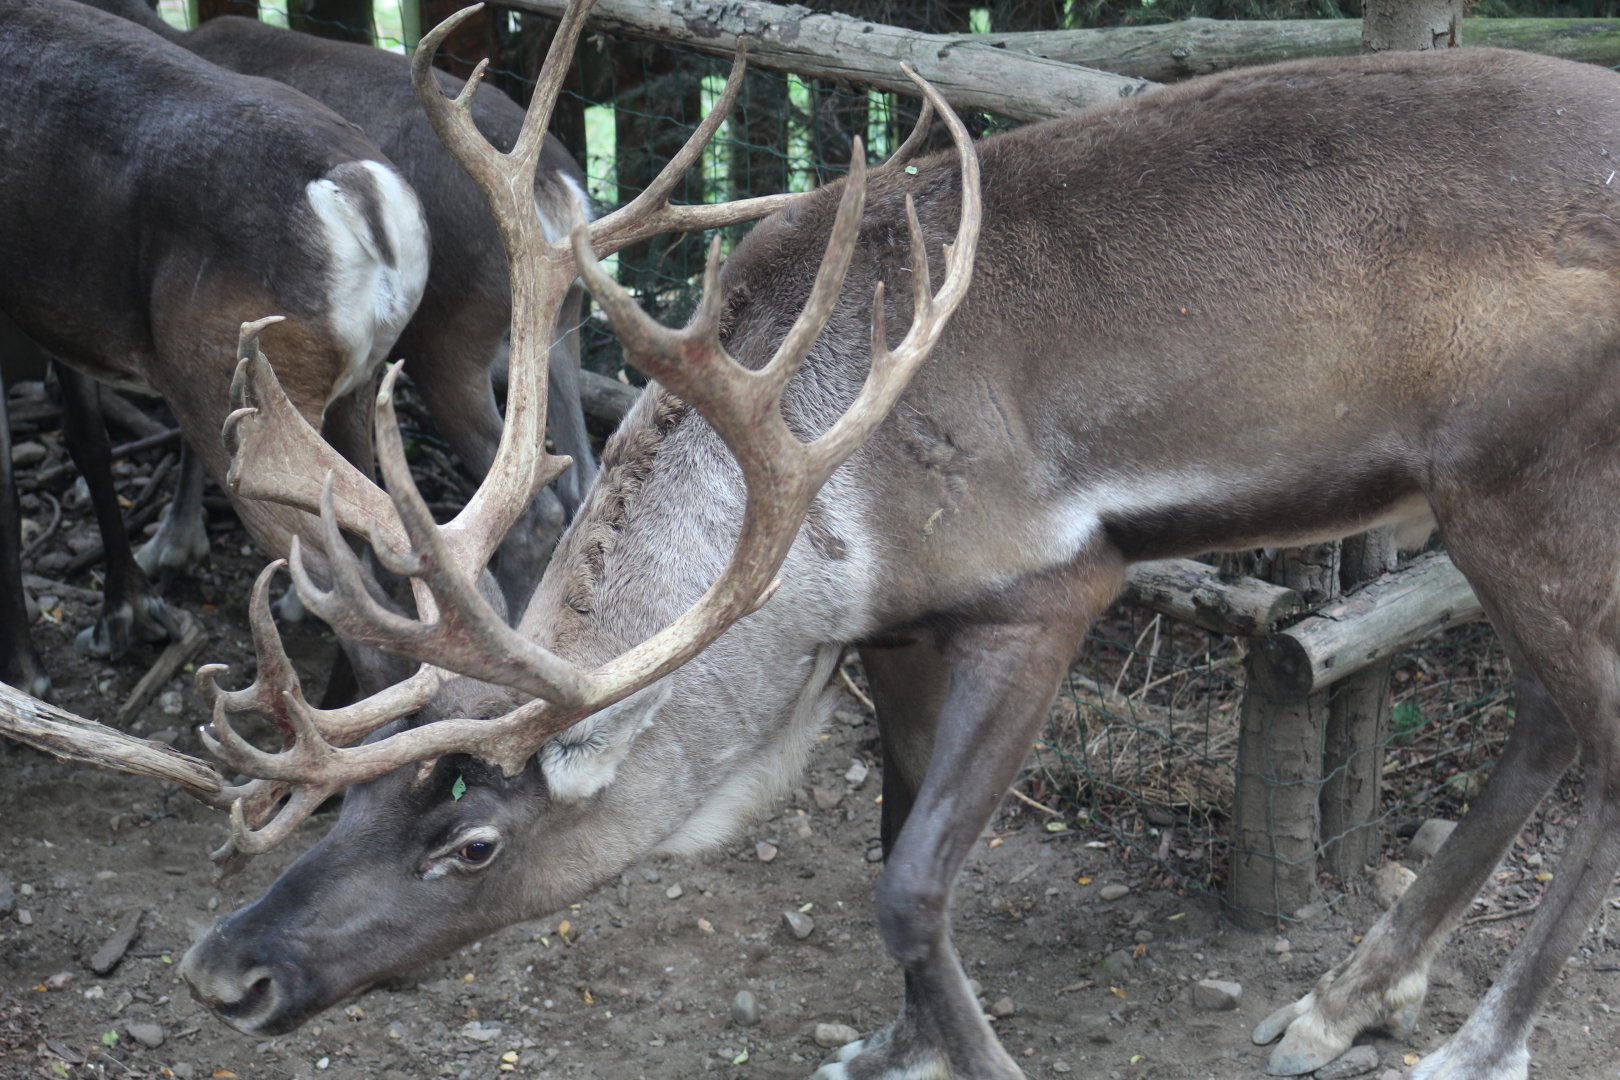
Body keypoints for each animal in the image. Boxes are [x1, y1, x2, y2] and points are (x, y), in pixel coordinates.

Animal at [0, 0, 429, 690]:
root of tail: (360, 195)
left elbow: (7, 495)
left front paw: (22, 669)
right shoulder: (63, 317)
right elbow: (89, 442)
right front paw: (126, 609)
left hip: (238, 406)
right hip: (356, 391)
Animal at [65, 0, 600, 613]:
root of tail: (555, 189)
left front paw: (173, 543)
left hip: (448, 337)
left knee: (532, 505)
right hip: (563, 318)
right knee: (580, 475)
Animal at [169, 5, 1618, 1078]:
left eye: (471, 842)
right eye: (352, 801)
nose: (227, 969)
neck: (829, 520)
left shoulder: (1048, 587)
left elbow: (914, 883)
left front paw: (974, 1057)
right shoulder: (901, 629)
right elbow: (891, 832)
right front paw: (895, 1044)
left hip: (1529, 484)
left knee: (1598, 737)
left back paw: (1477, 1043)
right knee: (1548, 717)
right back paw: (1349, 998)